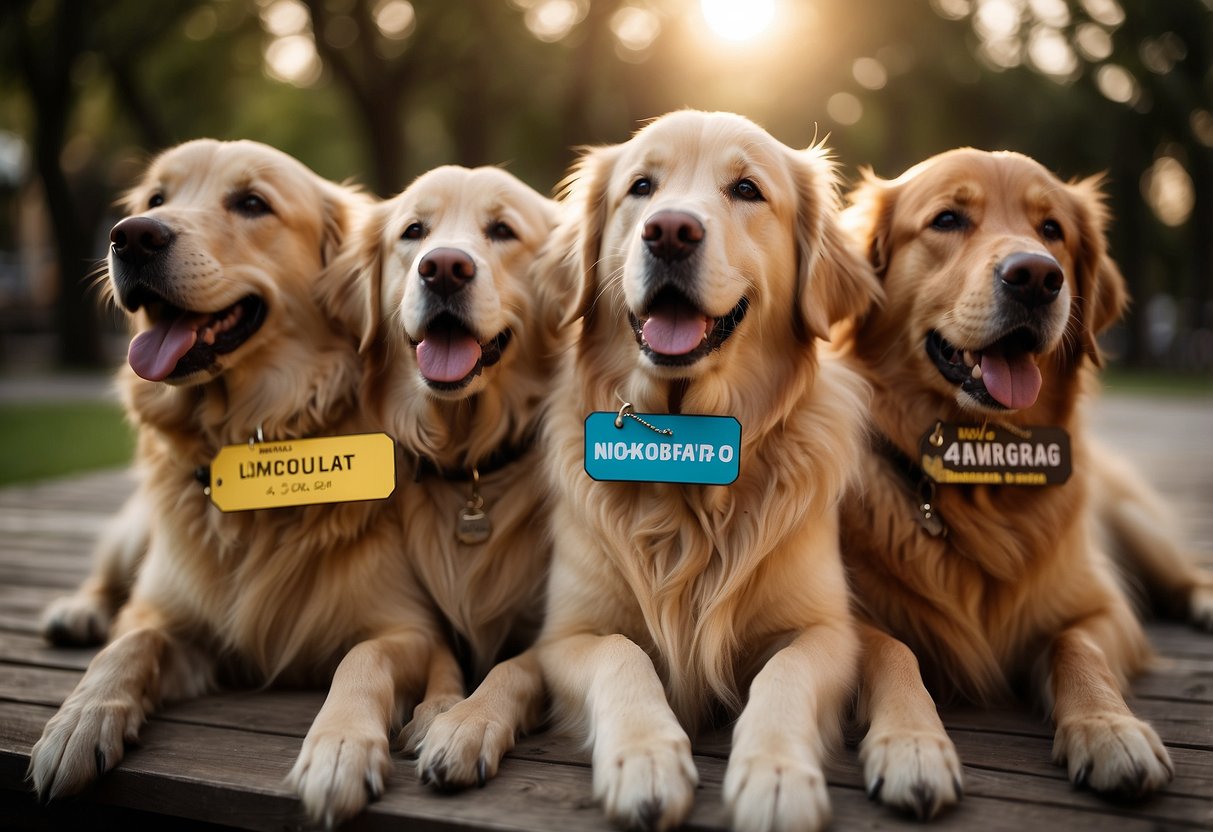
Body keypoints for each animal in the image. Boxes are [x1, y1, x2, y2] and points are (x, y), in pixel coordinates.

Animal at [29, 141, 451, 829]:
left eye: (252, 203)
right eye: (156, 198)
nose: (130, 236)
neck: (255, 434)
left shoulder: (407, 627)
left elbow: (361, 659)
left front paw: (337, 749)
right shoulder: (175, 617)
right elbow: (131, 641)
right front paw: (78, 720)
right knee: (110, 584)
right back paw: (80, 611)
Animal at [320, 166, 560, 790]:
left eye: (502, 230)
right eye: (414, 231)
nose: (444, 267)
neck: (469, 466)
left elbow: (512, 668)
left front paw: (467, 723)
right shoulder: (426, 615)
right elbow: (442, 659)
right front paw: (440, 707)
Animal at [516, 112, 878, 832]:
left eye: (746, 189)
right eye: (641, 187)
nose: (670, 231)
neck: (685, 440)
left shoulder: (827, 631)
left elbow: (784, 674)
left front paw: (774, 774)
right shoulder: (567, 635)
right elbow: (621, 655)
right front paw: (645, 758)